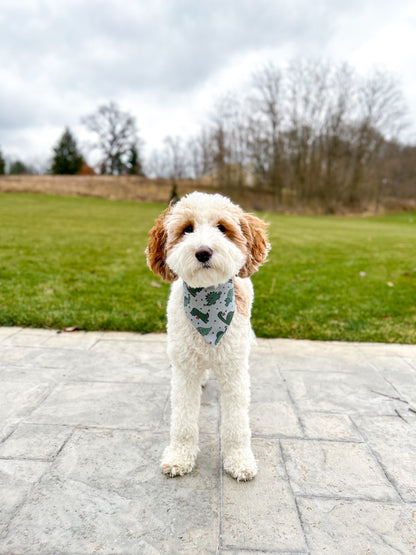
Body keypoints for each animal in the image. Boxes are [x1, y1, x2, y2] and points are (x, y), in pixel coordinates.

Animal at [146, 192, 270, 482]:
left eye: (222, 228)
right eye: (187, 229)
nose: (203, 251)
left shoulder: (233, 370)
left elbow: (236, 423)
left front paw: (239, 460)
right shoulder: (185, 370)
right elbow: (183, 421)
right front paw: (179, 457)